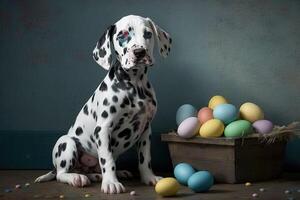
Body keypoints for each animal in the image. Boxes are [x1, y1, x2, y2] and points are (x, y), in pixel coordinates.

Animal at [34, 15, 171, 194]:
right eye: (122, 35)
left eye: (147, 34)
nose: (139, 52)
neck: (135, 84)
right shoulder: (103, 129)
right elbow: (107, 159)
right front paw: (111, 183)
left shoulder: (145, 130)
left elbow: (145, 158)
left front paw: (149, 177)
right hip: (67, 143)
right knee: (61, 173)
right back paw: (76, 178)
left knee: (92, 170)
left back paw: (103, 174)